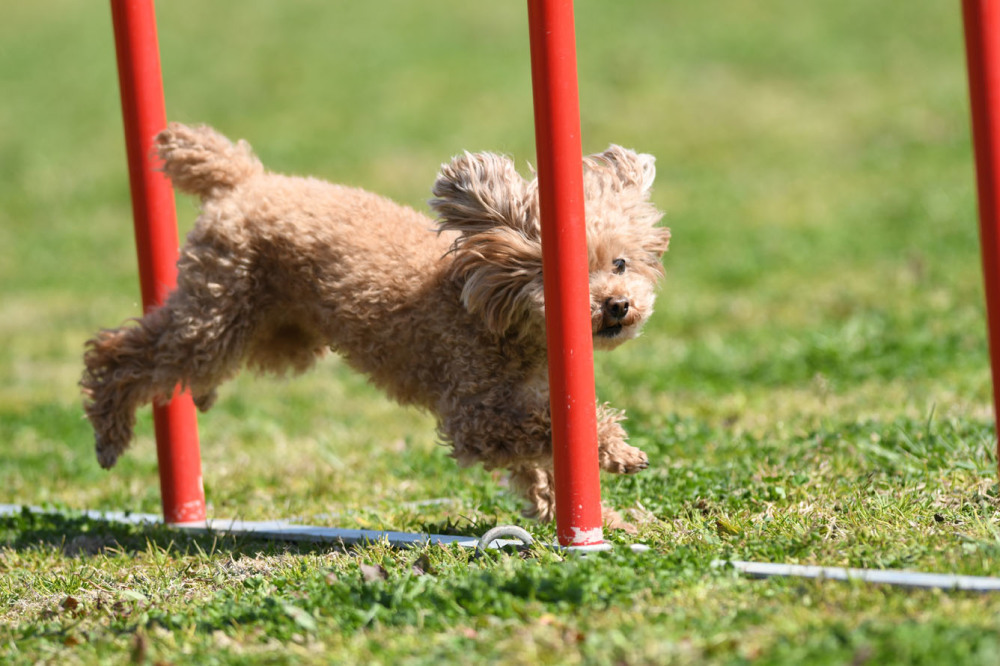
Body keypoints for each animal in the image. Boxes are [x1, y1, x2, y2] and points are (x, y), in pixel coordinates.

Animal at [80, 123, 672, 520]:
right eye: (561, 274)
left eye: (619, 263)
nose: (618, 306)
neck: (489, 314)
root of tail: (244, 181)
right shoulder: (474, 412)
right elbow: (542, 431)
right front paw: (617, 451)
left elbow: (537, 469)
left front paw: (597, 517)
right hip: (216, 316)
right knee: (122, 354)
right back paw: (109, 432)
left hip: (276, 332)